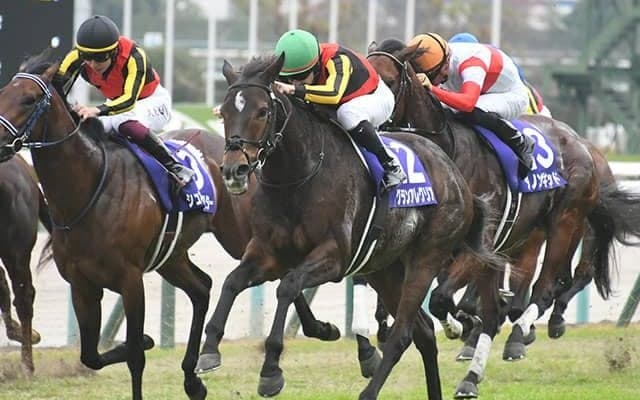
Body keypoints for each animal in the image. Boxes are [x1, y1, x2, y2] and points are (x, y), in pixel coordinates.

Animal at [0, 51, 255, 400]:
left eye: (30, 99)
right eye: (1, 94)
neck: (89, 189)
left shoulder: (130, 280)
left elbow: (135, 356)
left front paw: (141, 343)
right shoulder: (82, 284)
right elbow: (91, 356)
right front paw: (147, 340)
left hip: (236, 236)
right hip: (171, 256)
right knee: (201, 288)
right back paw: (192, 380)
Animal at [195, 53, 506, 400]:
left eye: (262, 111)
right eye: (224, 112)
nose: (234, 170)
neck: (297, 176)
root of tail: (456, 177)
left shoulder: (335, 257)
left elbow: (288, 286)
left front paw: (272, 369)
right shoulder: (267, 252)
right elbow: (232, 282)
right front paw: (209, 351)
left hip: (425, 259)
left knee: (402, 335)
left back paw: (370, 390)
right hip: (385, 269)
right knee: (423, 333)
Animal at [366, 39, 604, 397]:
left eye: (391, 82)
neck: (448, 150)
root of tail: (580, 143)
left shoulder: (475, 247)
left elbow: (441, 298)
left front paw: (461, 323)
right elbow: (447, 303)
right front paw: (461, 324)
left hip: (564, 224)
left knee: (544, 289)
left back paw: (520, 333)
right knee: (496, 312)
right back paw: (471, 376)